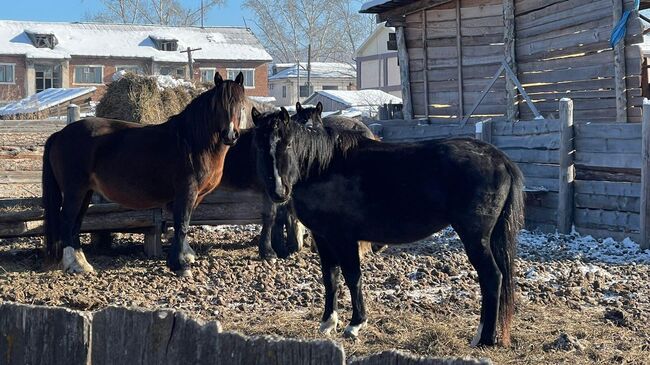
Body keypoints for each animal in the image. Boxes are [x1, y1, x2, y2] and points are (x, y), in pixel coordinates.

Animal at [42, 72, 246, 276]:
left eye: (241, 104)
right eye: (218, 104)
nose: (230, 135)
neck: (191, 142)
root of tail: (60, 134)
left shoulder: (195, 196)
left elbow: (183, 224)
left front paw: (185, 255)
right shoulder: (187, 191)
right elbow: (181, 225)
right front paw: (180, 265)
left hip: (85, 192)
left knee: (75, 224)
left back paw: (82, 263)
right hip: (74, 191)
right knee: (67, 222)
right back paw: (73, 264)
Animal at [251, 107, 524, 344]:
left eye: (288, 144)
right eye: (260, 146)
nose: (279, 192)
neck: (323, 166)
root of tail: (500, 159)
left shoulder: (343, 238)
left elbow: (353, 277)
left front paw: (355, 324)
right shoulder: (323, 237)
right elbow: (331, 278)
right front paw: (328, 322)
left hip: (475, 238)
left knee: (492, 277)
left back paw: (484, 339)